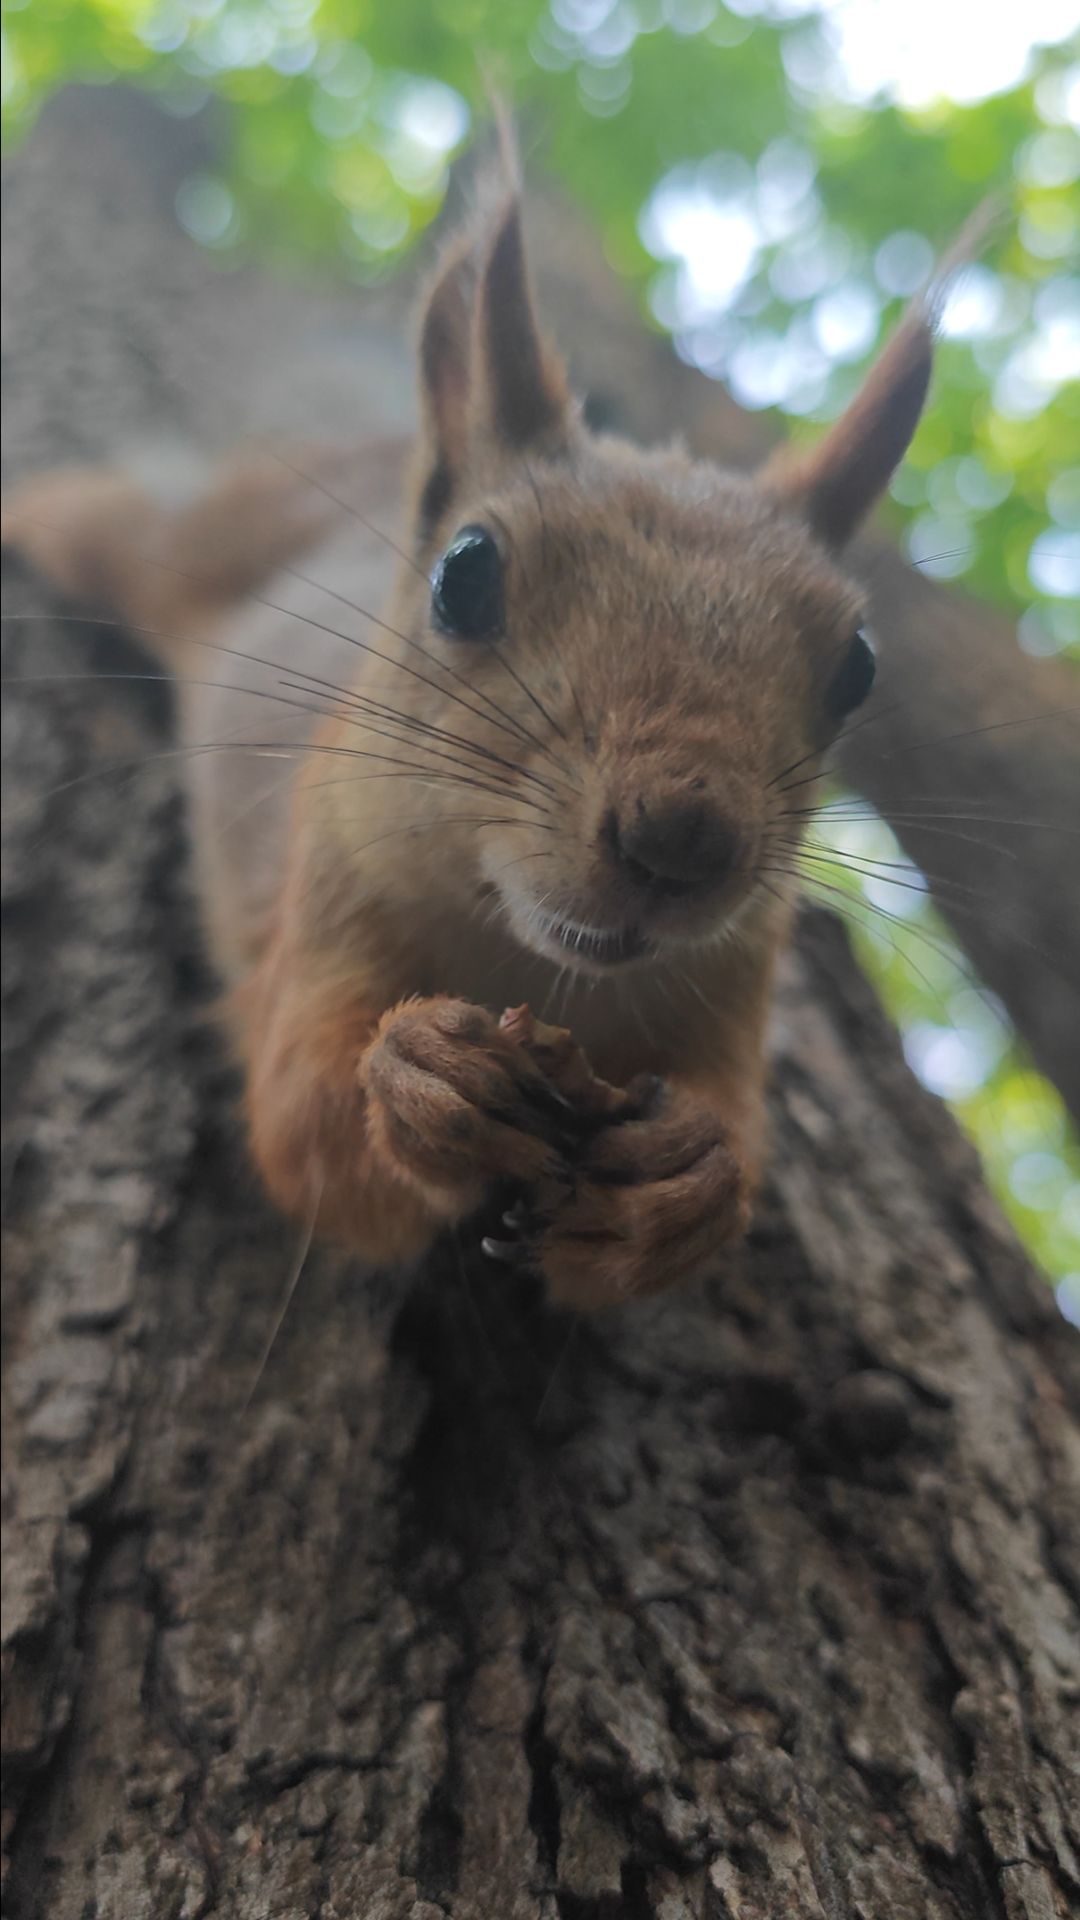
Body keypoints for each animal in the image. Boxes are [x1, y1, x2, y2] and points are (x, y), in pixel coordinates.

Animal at [1, 171, 946, 1311]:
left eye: (859, 666)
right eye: (464, 574)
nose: (682, 838)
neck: (530, 959)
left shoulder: (735, 981)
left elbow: (734, 1154)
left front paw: (688, 1177)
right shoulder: (320, 893)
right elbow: (303, 1125)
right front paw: (421, 1077)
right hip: (169, 547)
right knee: (97, 516)